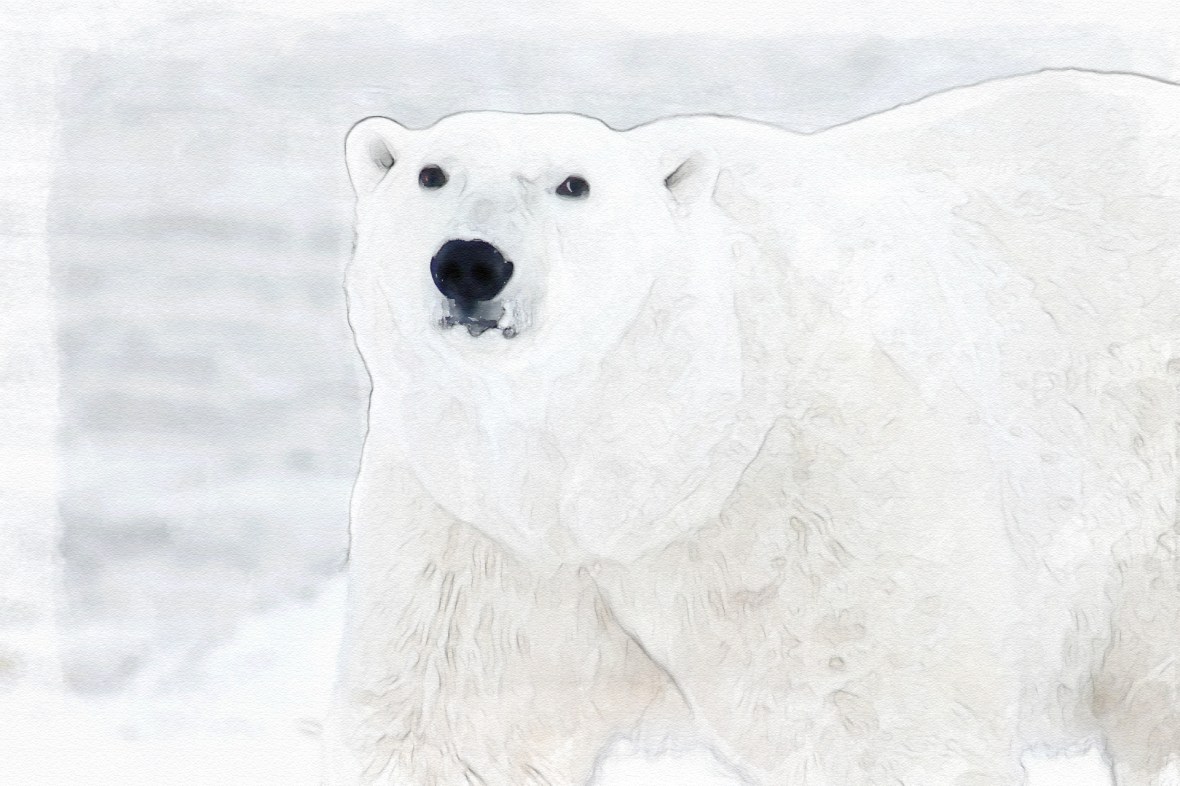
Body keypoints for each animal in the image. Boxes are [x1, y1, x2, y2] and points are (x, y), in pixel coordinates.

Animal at [325, 68, 1180, 785]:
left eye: (574, 183)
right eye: (432, 173)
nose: (470, 261)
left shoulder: (799, 494)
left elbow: (872, 723)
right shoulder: (478, 526)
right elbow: (460, 729)